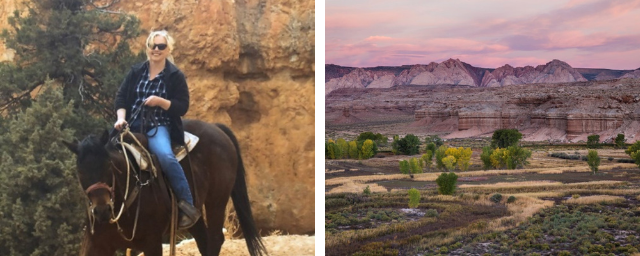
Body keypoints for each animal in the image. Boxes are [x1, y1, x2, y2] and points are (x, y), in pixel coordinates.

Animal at [63, 120, 268, 256]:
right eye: (79, 170)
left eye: (108, 166)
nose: (101, 210)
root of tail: (217, 128)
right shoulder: (96, 245)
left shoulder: (152, 243)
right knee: (204, 239)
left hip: (216, 201)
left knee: (215, 239)